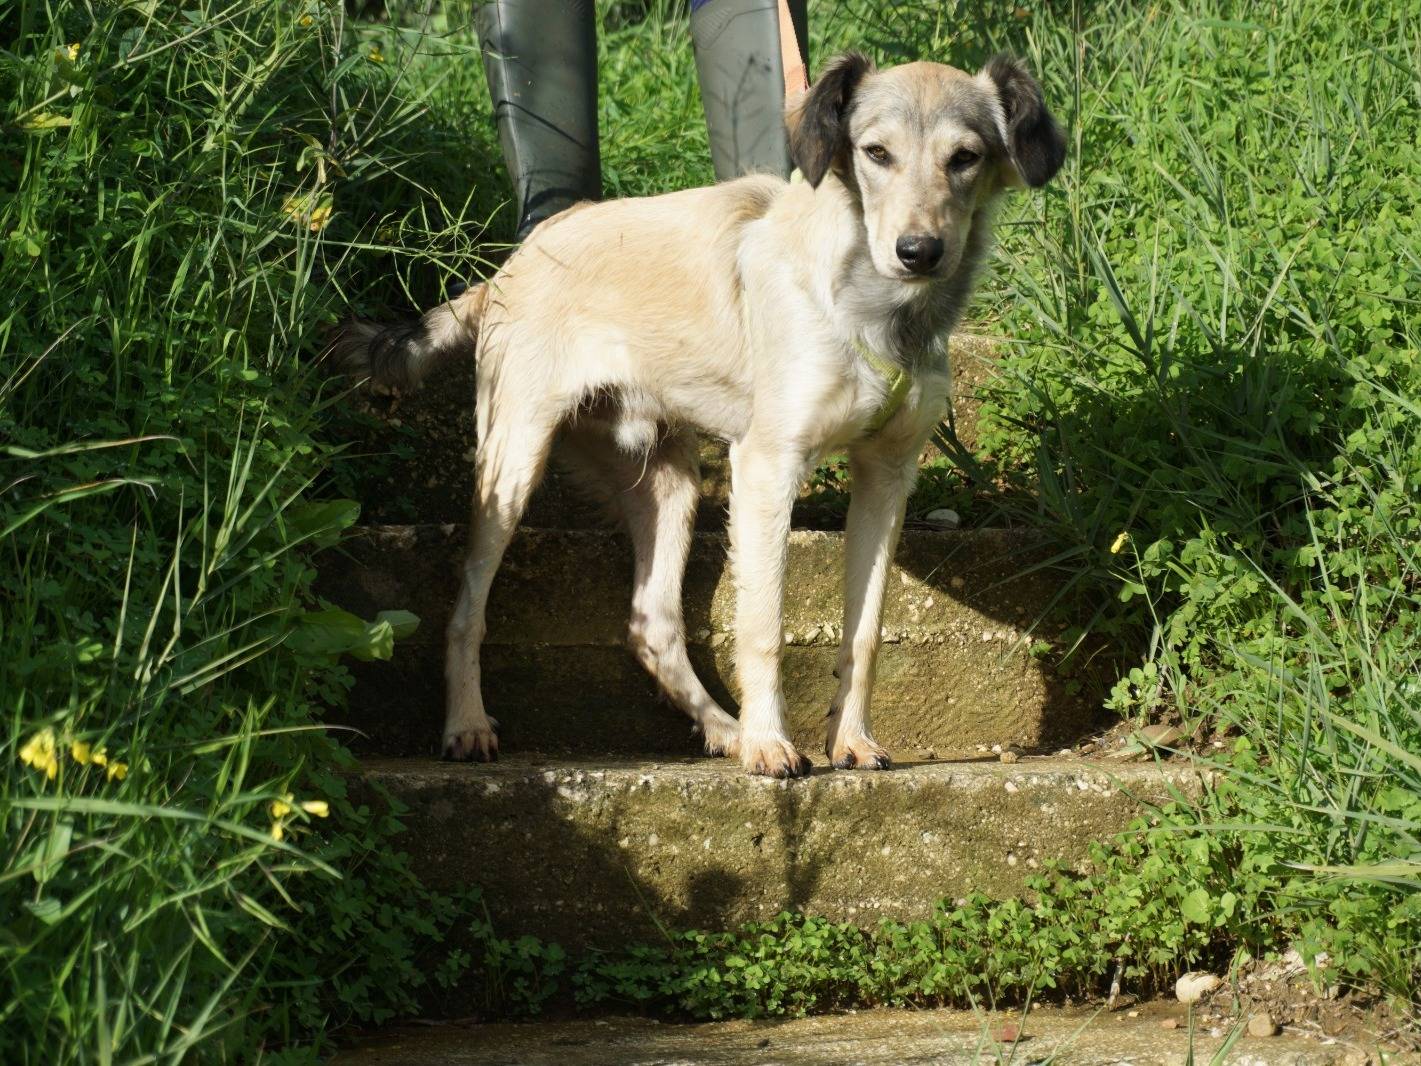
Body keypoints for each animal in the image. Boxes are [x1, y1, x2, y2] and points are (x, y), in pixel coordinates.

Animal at [329, 50, 1068, 778]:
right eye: (875, 153)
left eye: (964, 157)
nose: (918, 252)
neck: (874, 310)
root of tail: (513, 264)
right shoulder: (767, 466)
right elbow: (763, 625)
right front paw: (771, 745)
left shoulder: (887, 475)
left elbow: (865, 632)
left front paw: (850, 740)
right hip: (512, 462)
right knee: (466, 609)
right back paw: (468, 724)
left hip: (666, 482)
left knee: (650, 624)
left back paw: (722, 729)